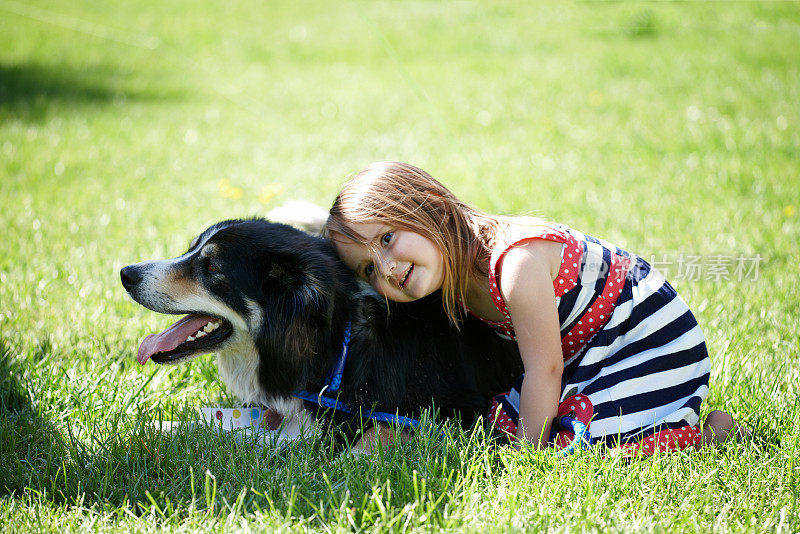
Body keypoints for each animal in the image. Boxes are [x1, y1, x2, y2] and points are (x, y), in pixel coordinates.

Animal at [117, 220, 520, 450]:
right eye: (190, 251)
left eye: (212, 267)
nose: (125, 274)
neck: (339, 345)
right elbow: (222, 421)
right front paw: (156, 426)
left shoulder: (458, 411)